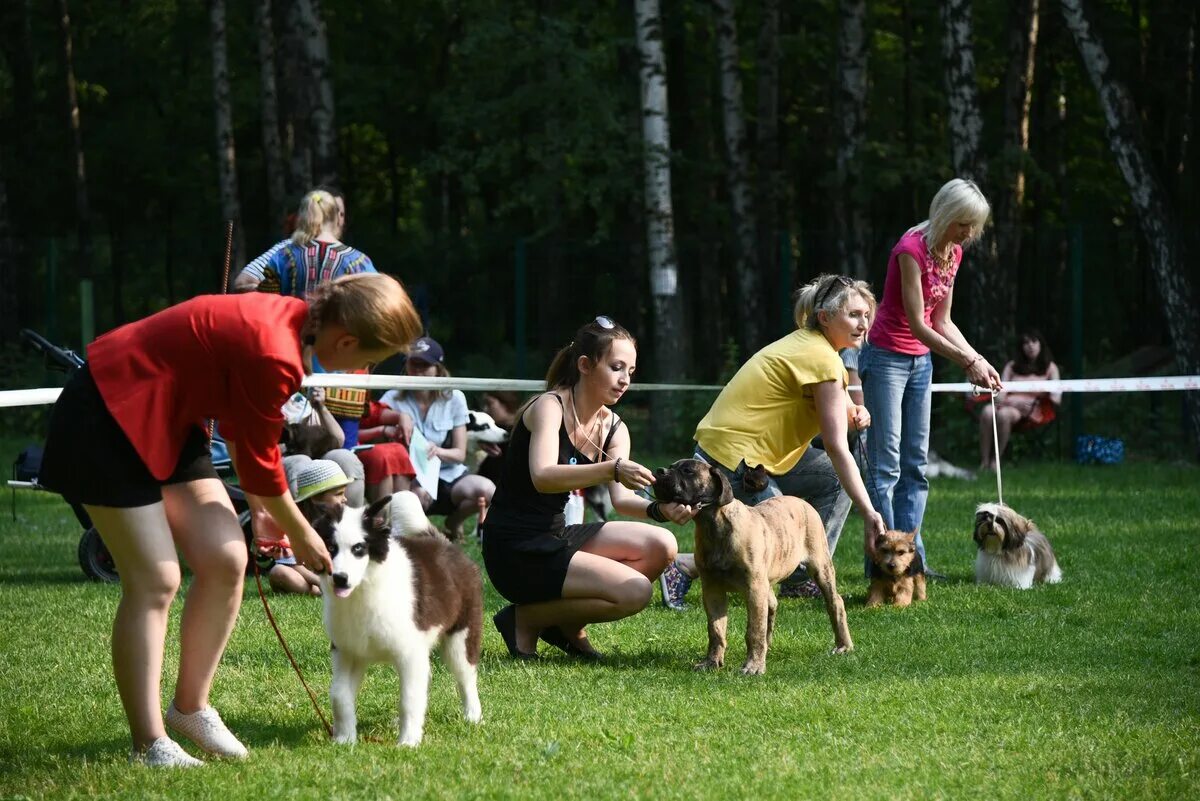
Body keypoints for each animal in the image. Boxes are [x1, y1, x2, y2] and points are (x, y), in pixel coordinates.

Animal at [319, 491, 487, 748]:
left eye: (358, 548)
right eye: (330, 547)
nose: (339, 578)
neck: (364, 589)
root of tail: (444, 543)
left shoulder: (410, 653)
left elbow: (408, 699)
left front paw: (408, 742)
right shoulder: (348, 650)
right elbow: (339, 694)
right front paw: (345, 739)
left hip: (462, 634)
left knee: (466, 676)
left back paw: (472, 715)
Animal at [648, 455, 854, 676]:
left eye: (688, 471)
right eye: (671, 467)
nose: (659, 471)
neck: (712, 525)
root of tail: (801, 502)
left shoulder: (753, 588)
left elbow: (754, 630)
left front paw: (753, 666)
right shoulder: (713, 590)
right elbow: (716, 630)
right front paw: (712, 662)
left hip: (820, 567)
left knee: (835, 602)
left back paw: (843, 645)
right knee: (772, 606)